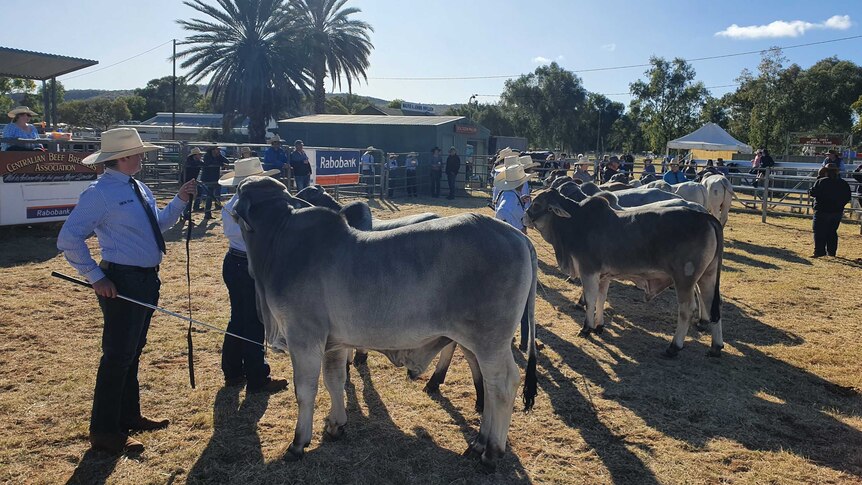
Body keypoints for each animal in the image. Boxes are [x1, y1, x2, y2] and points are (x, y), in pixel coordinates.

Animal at [524, 187, 724, 358]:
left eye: (536, 204)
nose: (524, 216)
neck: (575, 222)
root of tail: (706, 217)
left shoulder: (588, 271)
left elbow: (590, 300)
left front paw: (587, 328)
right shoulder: (603, 276)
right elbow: (601, 299)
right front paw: (599, 326)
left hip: (685, 278)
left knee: (687, 309)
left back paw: (674, 347)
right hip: (708, 275)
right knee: (712, 304)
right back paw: (716, 347)